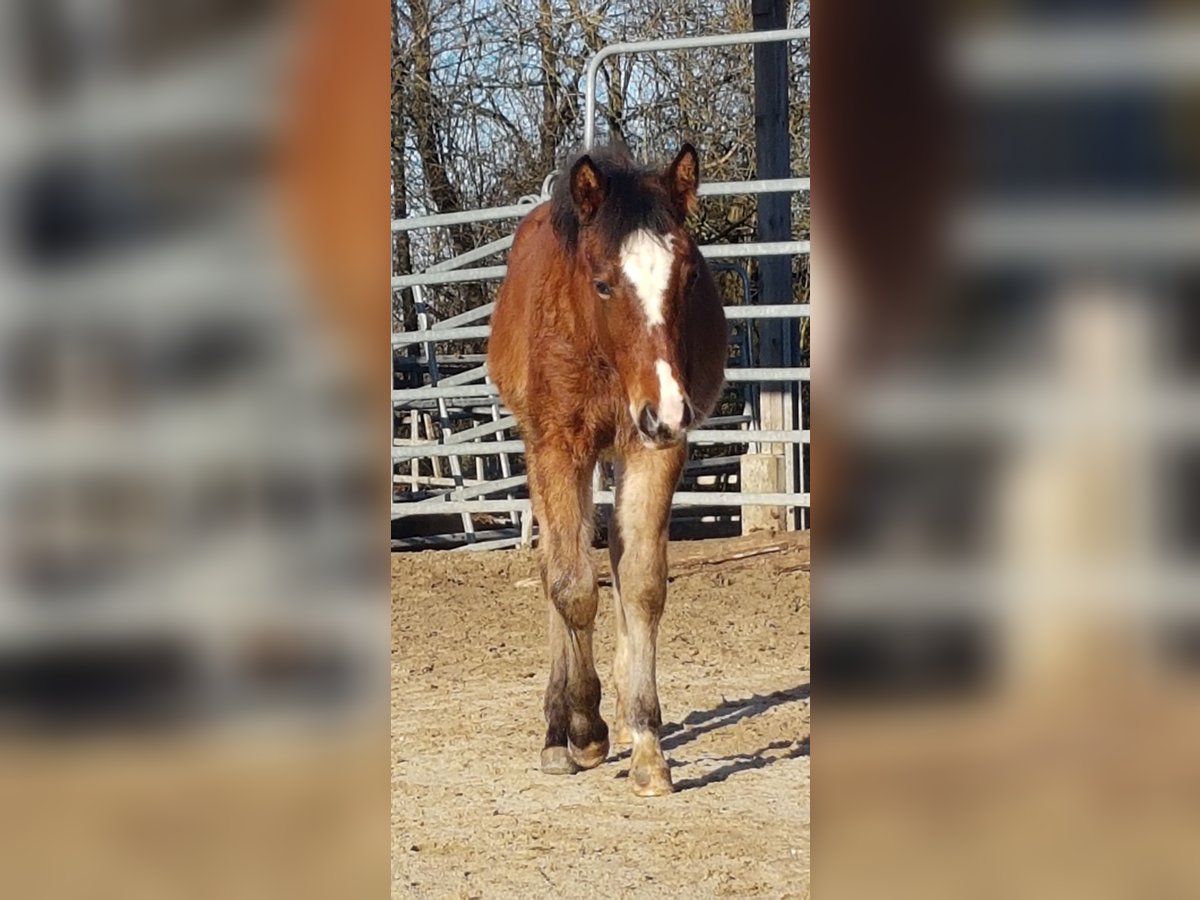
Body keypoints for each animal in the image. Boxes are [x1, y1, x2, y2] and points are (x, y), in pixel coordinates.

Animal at [489, 142, 729, 796]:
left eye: (689, 275)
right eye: (602, 283)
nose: (666, 409)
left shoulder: (654, 448)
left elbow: (640, 583)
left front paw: (646, 742)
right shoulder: (557, 447)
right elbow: (571, 587)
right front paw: (585, 729)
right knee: (555, 565)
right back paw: (558, 730)